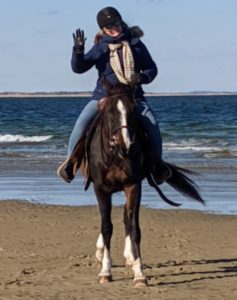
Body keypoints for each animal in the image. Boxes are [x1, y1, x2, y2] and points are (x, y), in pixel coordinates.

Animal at [81, 81, 204, 288]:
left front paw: (139, 273)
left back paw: (129, 257)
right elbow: (106, 227)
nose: (126, 144)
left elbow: (133, 227)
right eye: (110, 111)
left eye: (133, 110)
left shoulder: (133, 186)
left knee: (125, 217)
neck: (116, 155)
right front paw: (105, 271)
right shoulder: (101, 188)